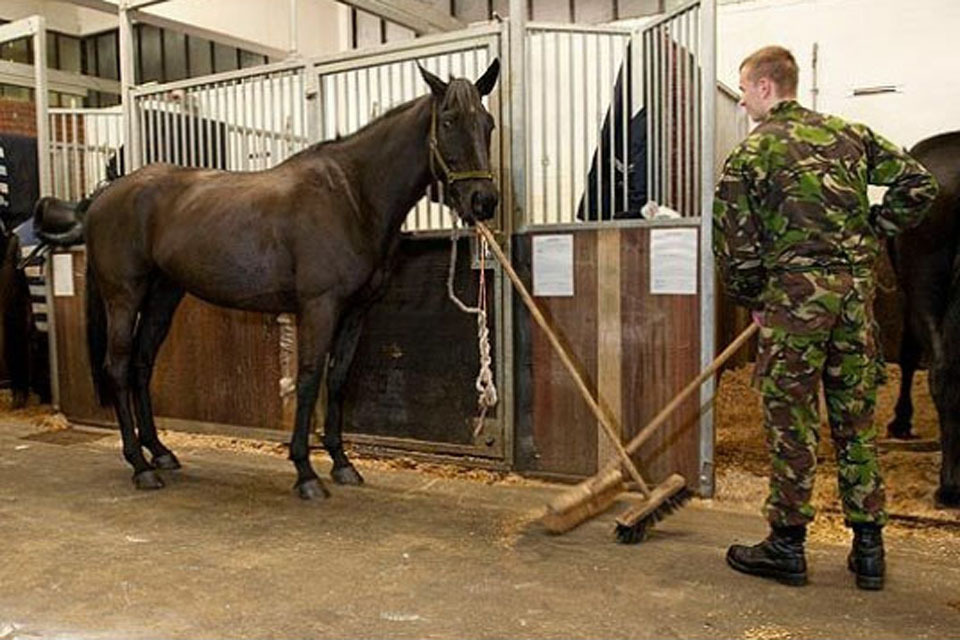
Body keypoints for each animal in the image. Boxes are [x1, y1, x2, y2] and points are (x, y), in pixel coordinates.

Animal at [83, 60, 501, 498]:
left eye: (487, 123)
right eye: (449, 121)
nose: (483, 201)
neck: (352, 196)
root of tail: (105, 195)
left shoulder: (355, 311)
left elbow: (337, 378)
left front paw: (342, 463)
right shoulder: (319, 306)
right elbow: (310, 378)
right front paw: (306, 471)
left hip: (163, 295)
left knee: (141, 364)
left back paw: (159, 453)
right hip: (124, 296)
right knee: (118, 366)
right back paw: (139, 465)